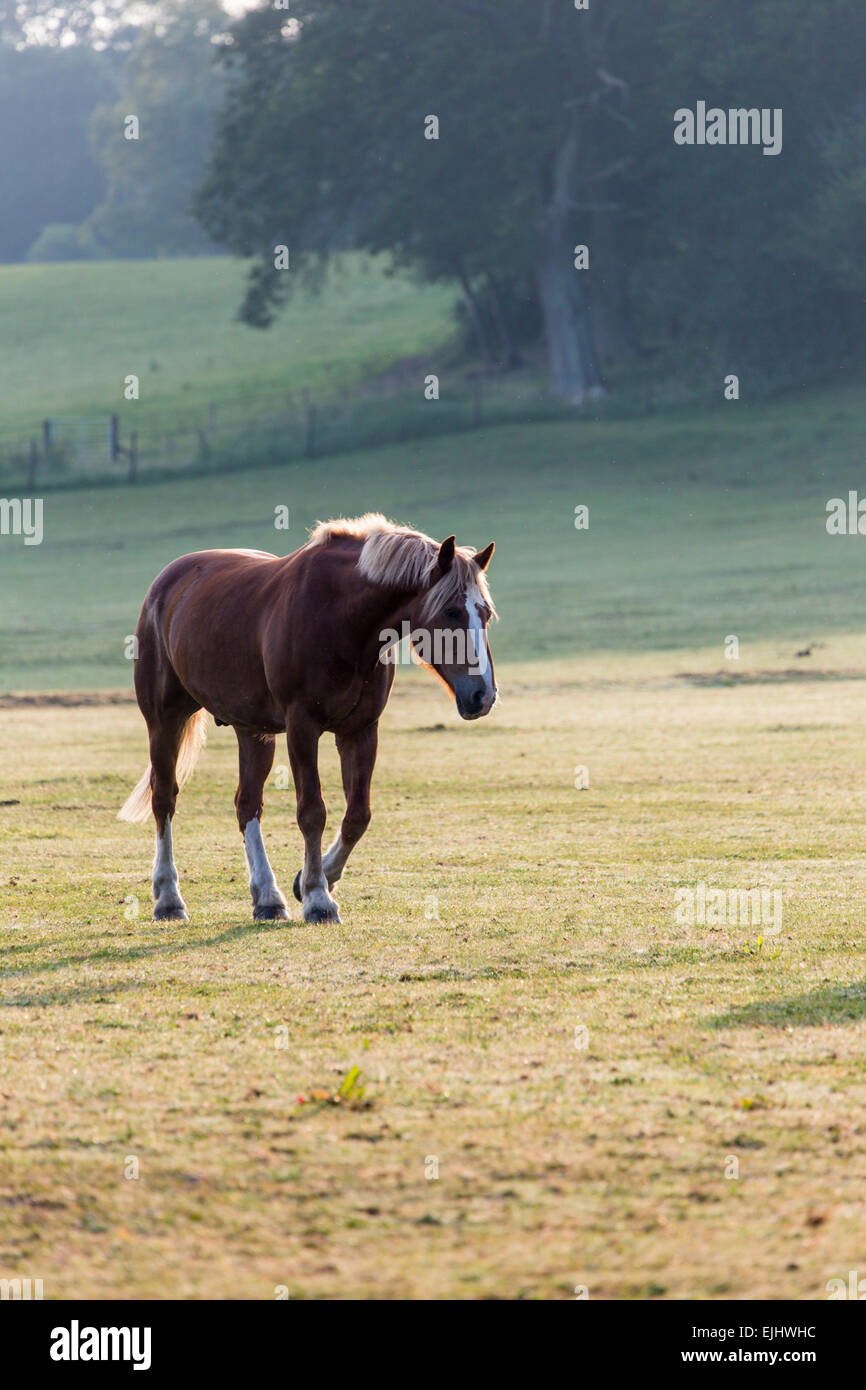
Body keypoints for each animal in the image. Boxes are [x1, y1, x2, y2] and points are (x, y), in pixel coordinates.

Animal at [116, 511, 494, 922]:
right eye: (451, 612)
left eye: (486, 614)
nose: (483, 695)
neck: (342, 618)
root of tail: (169, 580)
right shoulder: (302, 727)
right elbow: (312, 811)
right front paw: (317, 897)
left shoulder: (361, 730)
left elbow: (357, 815)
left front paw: (314, 880)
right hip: (164, 720)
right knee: (164, 799)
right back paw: (169, 897)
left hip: (254, 732)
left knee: (247, 804)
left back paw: (267, 897)